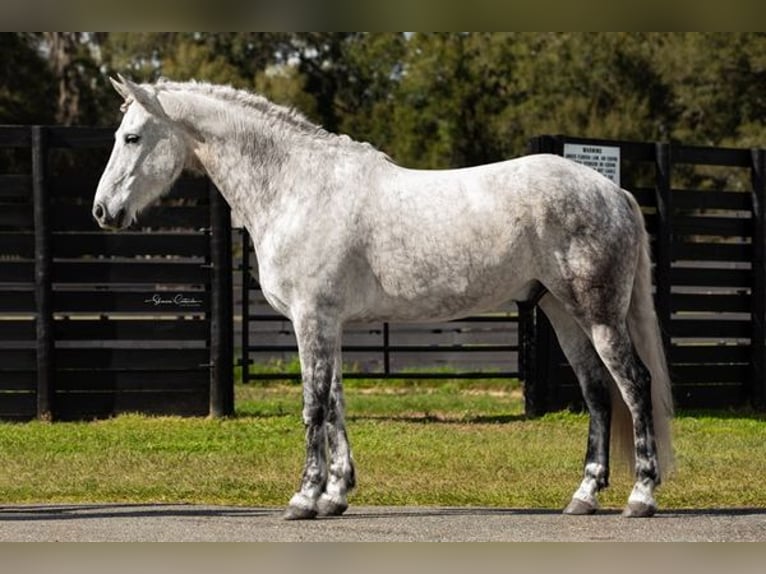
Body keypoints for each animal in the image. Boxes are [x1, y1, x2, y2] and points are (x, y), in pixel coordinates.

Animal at [94, 76, 672, 520]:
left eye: (132, 136)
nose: (102, 211)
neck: (298, 188)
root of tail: (613, 190)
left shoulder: (310, 320)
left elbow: (312, 406)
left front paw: (303, 498)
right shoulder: (329, 325)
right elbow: (335, 405)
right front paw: (335, 496)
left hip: (598, 315)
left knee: (634, 385)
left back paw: (640, 497)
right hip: (562, 313)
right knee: (598, 393)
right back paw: (584, 496)